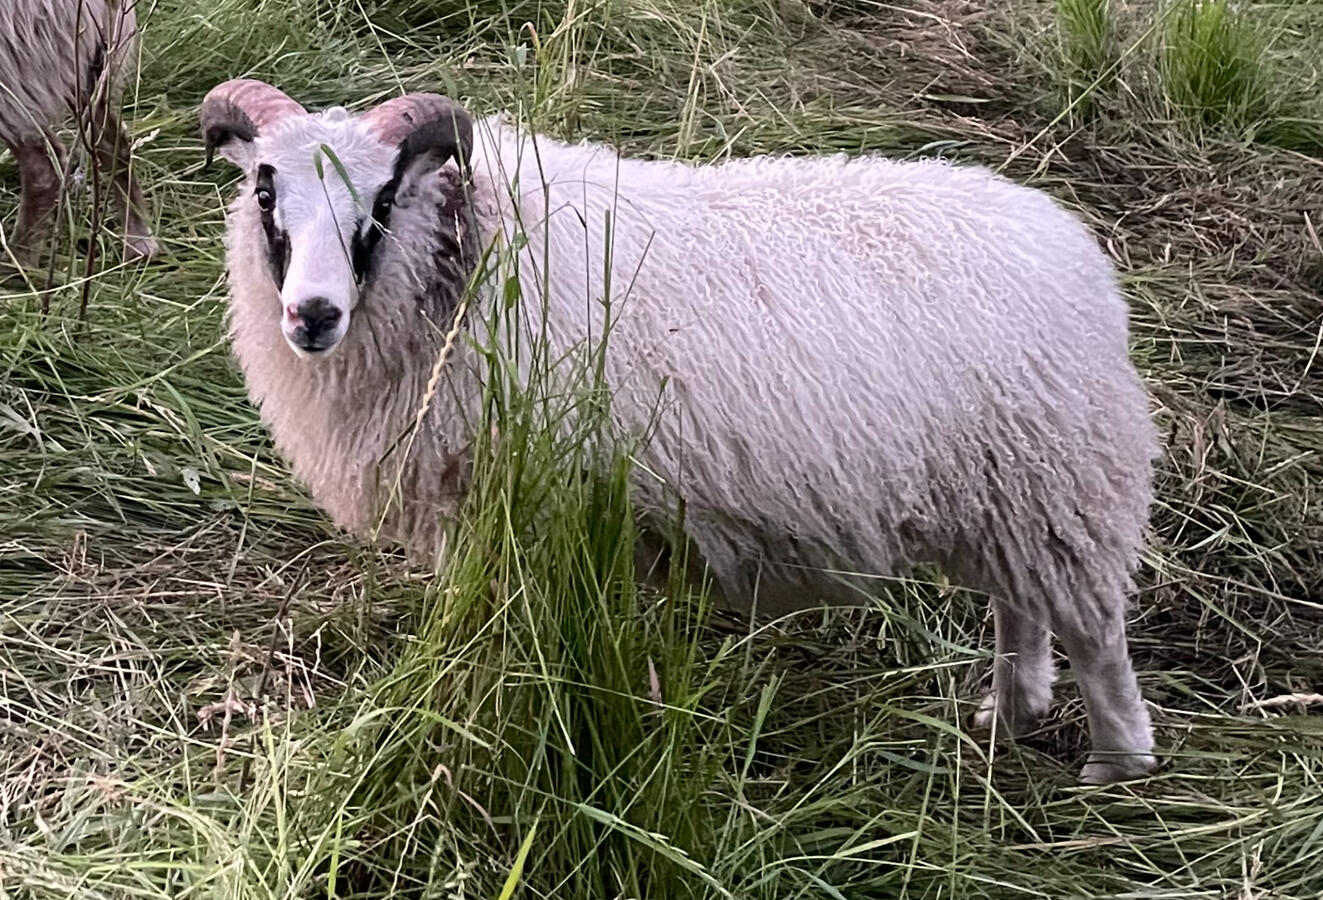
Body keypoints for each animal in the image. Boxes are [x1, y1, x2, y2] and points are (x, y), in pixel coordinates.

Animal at [1, 0, 158, 271]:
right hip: (84, 69)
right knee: (114, 143)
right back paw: (139, 243)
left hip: (19, 71)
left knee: (42, 168)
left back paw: (18, 266)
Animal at [199, 78, 1164, 786]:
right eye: (264, 189)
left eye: (385, 195)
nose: (313, 315)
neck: (467, 256)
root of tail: (1078, 255)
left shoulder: (510, 506)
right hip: (1008, 490)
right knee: (1020, 604)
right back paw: (1009, 713)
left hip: (1063, 481)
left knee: (1094, 631)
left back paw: (1114, 765)